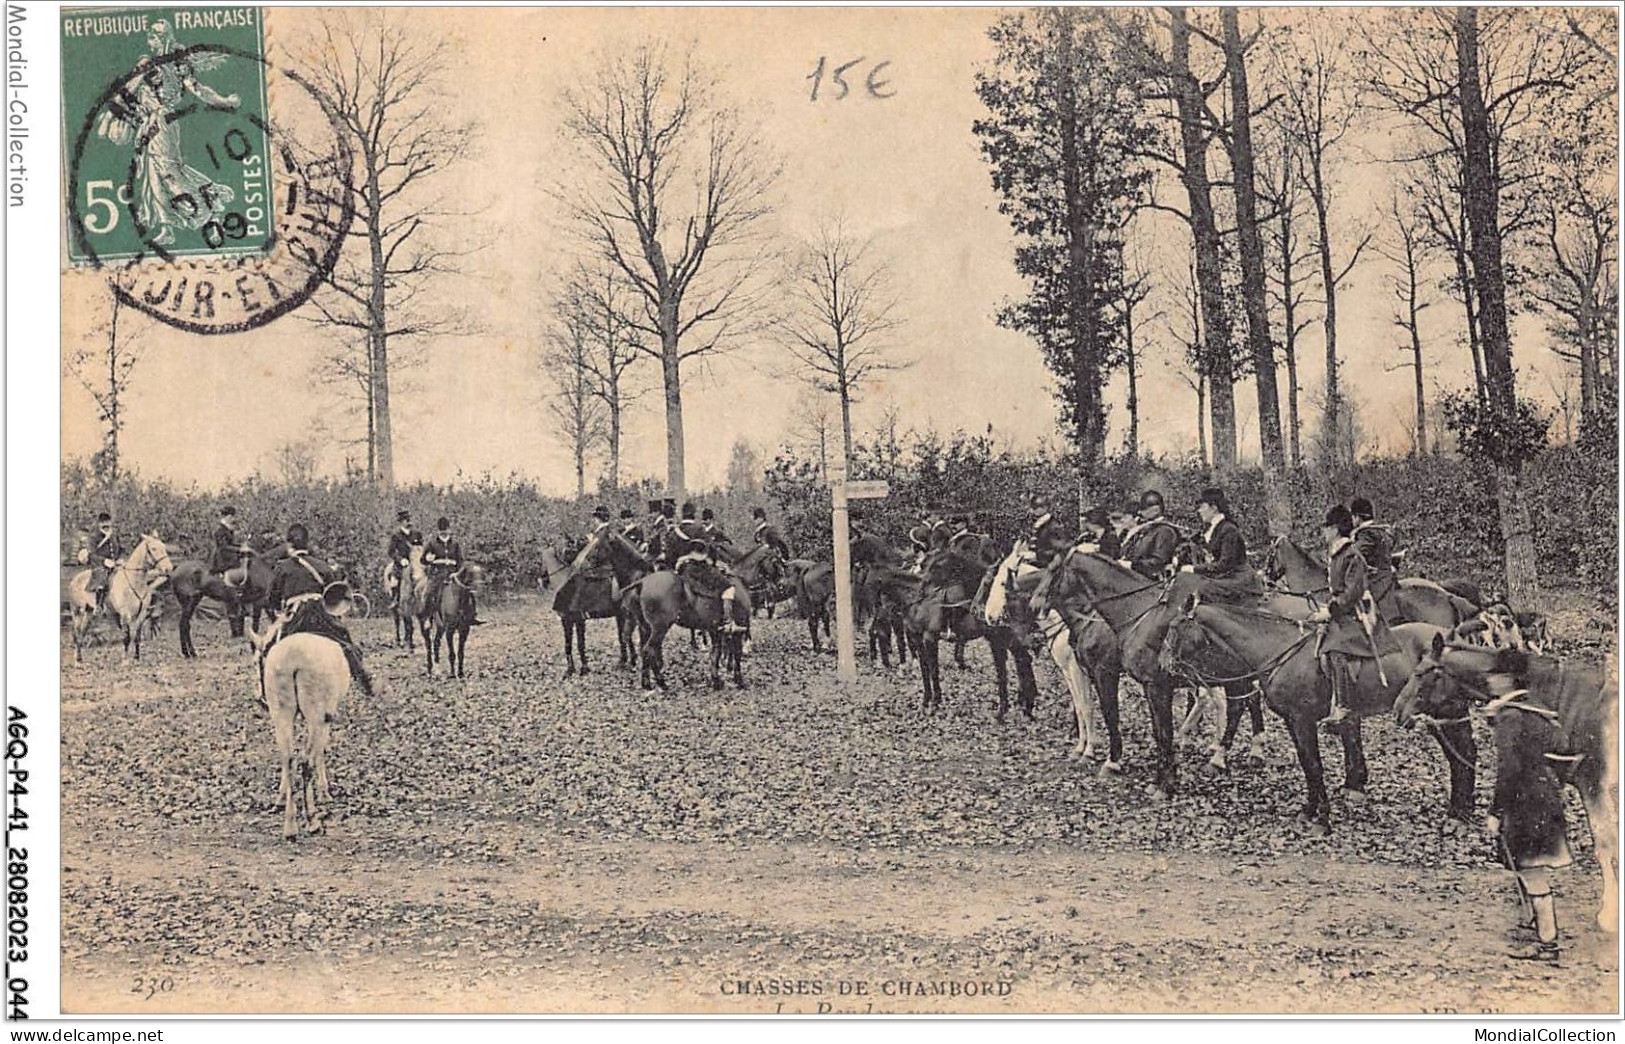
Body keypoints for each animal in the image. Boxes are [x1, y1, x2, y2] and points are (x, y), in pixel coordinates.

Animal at [65, 533, 173, 663]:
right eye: (153, 549)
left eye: (164, 547)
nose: (169, 568)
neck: (134, 581)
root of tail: (75, 579)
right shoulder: (125, 615)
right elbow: (127, 637)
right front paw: (125, 661)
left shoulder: (142, 615)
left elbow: (137, 637)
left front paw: (137, 658)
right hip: (76, 611)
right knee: (76, 634)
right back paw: (77, 661)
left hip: (88, 613)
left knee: (82, 633)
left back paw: (80, 658)